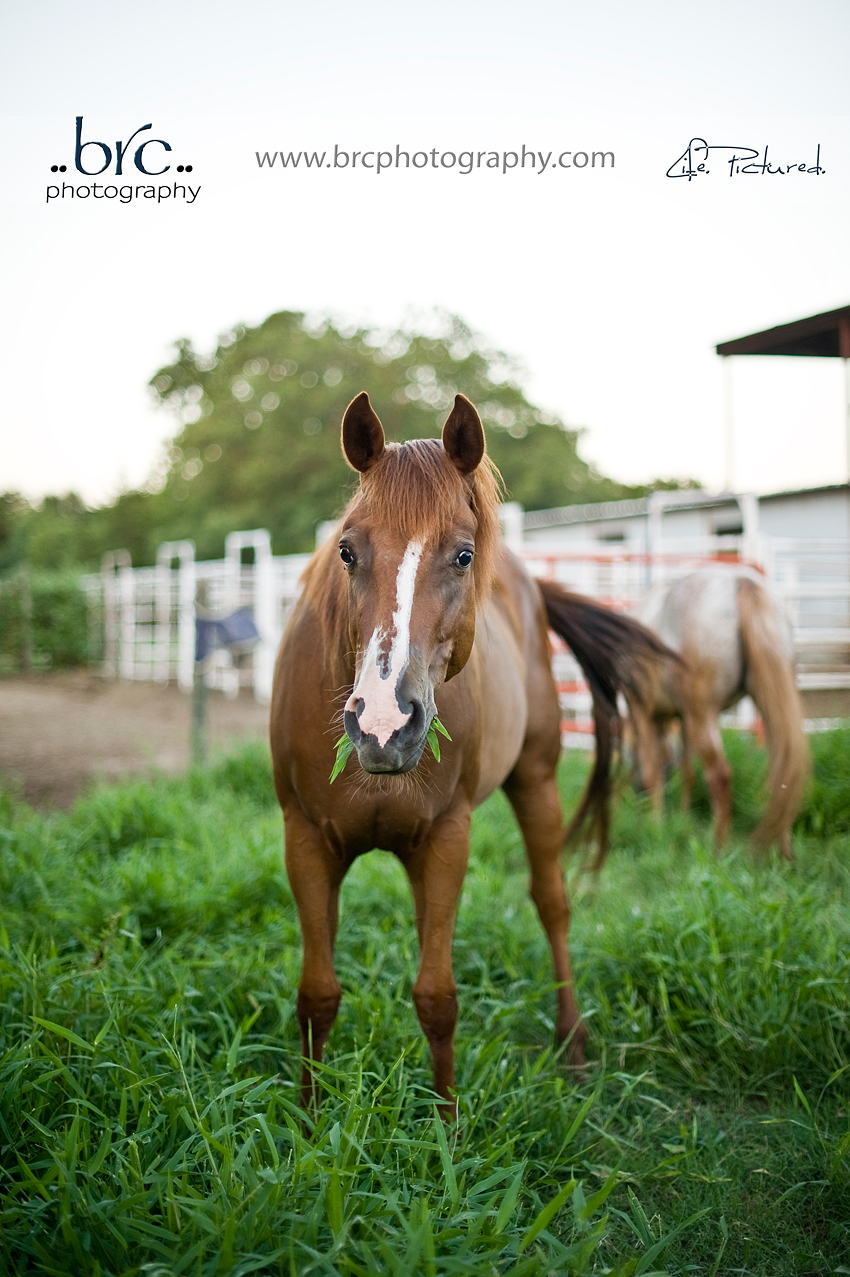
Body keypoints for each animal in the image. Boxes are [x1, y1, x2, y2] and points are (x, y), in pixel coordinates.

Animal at [270, 391, 673, 1114]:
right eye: (346, 549)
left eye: (461, 555)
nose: (383, 723)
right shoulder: (306, 839)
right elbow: (317, 996)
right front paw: (309, 1126)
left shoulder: (447, 837)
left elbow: (437, 998)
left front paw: (447, 1126)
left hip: (536, 782)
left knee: (552, 902)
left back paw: (573, 1045)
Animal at [624, 565, 808, 859]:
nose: (636, 791)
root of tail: (738, 581)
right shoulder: (683, 719)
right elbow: (686, 770)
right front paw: (682, 817)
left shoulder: (645, 713)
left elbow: (654, 770)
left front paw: (655, 824)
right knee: (784, 772)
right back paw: (784, 852)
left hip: (703, 715)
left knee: (719, 776)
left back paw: (717, 850)